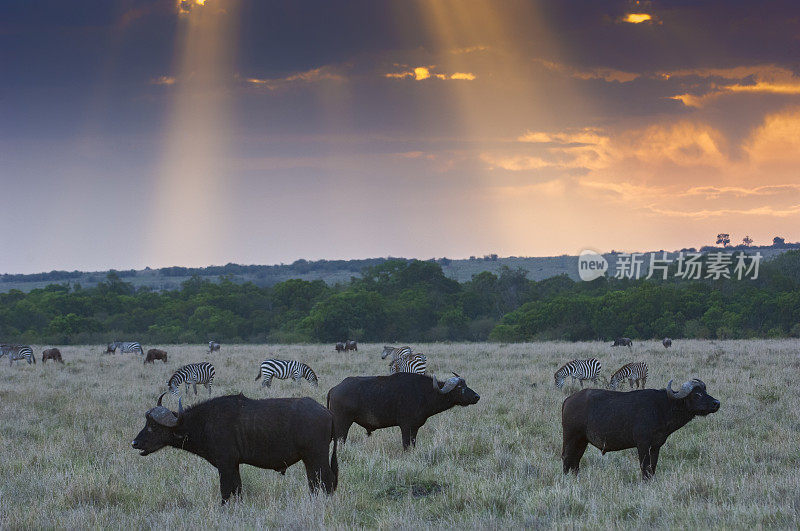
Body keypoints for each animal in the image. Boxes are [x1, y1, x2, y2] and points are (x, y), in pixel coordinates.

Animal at [132, 390, 338, 502]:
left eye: (153, 426)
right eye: (147, 423)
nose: (135, 443)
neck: (204, 422)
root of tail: (327, 412)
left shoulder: (225, 465)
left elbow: (225, 491)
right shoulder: (234, 466)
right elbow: (237, 490)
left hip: (317, 457)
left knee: (327, 482)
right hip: (309, 461)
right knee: (314, 483)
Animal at [326, 372, 478, 450]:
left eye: (465, 384)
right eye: (460, 387)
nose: (477, 396)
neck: (424, 393)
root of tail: (335, 388)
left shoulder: (415, 428)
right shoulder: (406, 426)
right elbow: (406, 445)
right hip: (343, 423)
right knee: (340, 440)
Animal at [560, 376, 720, 480]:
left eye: (705, 392)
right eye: (697, 394)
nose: (716, 403)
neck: (662, 407)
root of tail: (568, 400)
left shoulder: (655, 446)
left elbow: (652, 467)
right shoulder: (642, 444)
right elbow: (645, 466)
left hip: (582, 441)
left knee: (575, 460)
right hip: (571, 437)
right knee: (567, 458)